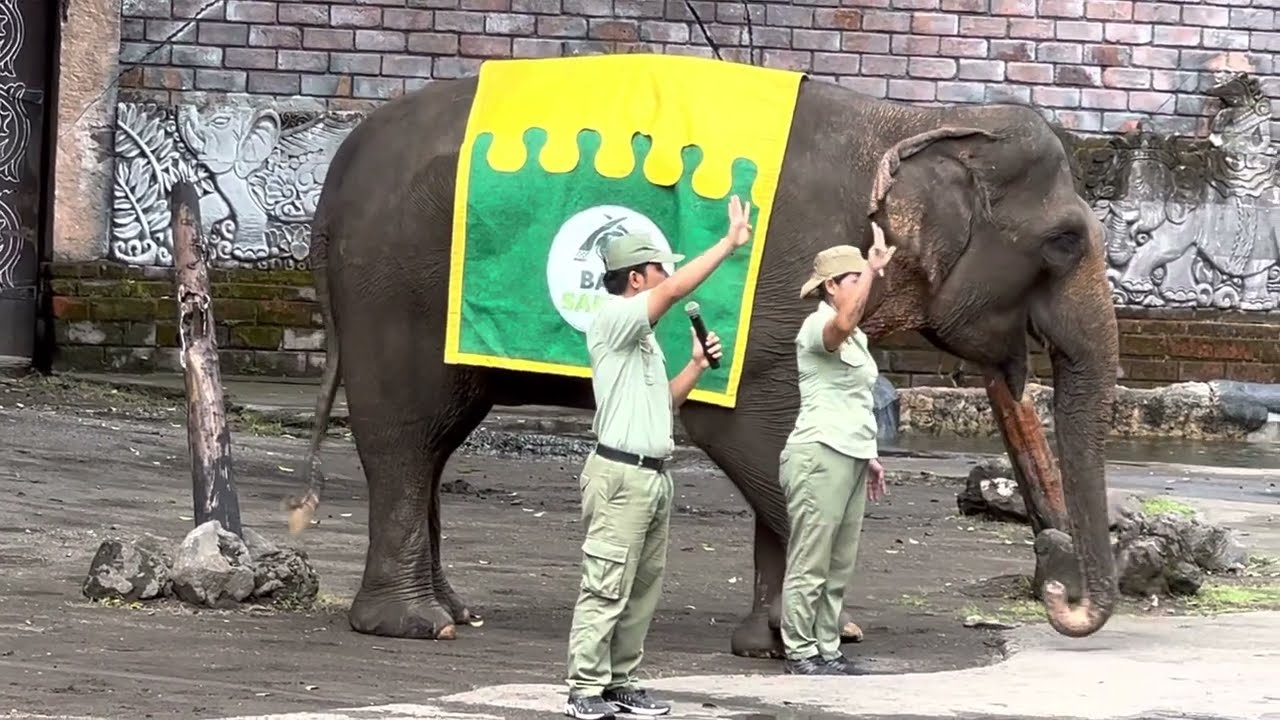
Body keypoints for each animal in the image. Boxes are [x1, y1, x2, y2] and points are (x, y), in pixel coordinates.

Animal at [284, 60, 1120, 657]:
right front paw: (825, 634)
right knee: (405, 434)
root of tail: (331, 181)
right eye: (1063, 242)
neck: (910, 121)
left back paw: (456, 613)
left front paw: (773, 643)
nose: (1057, 581)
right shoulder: (777, 282)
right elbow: (747, 429)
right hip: (393, 288)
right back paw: (417, 625)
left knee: (436, 439)